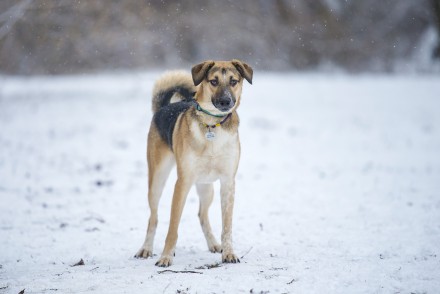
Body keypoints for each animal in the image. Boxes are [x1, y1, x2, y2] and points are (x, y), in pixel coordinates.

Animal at [134, 59, 253, 266]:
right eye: (213, 81)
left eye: (233, 81)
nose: (225, 101)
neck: (213, 126)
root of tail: (163, 107)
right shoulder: (182, 183)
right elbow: (172, 227)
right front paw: (166, 257)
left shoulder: (227, 183)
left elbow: (227, 226)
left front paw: (229, 253)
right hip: (157, 180)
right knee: (153, 217)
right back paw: (146, 249)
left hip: (207, 188)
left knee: (202, 215)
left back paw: (213, 244)